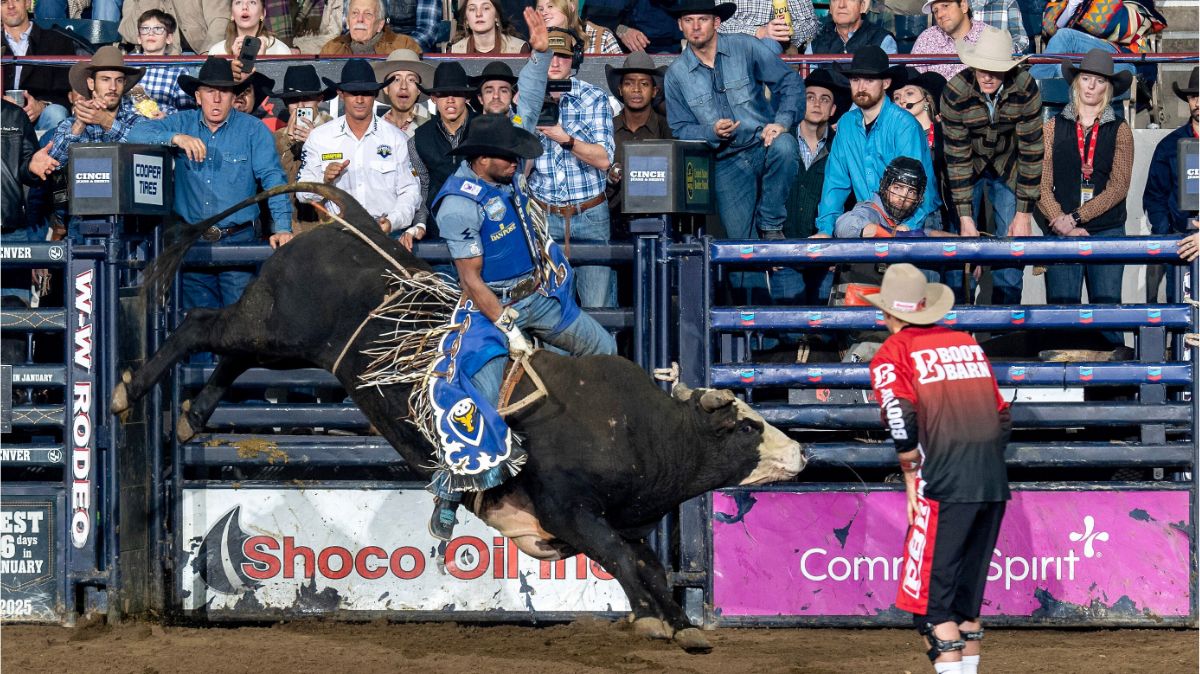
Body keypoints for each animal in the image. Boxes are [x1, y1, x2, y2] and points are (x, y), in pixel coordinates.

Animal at [112, 183, 806, 652]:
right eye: (748, 425)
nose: (801, 453)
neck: (646, 430)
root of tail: (344, 224)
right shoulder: (570, 511)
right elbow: (619, 559)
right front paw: (655, 621)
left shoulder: (629, 521)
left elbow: (651, 565)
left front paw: (684, 625)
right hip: (279, 324)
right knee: (202, 326)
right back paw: (126, 392)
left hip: (286, 341)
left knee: (230, 353)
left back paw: (191, 416)